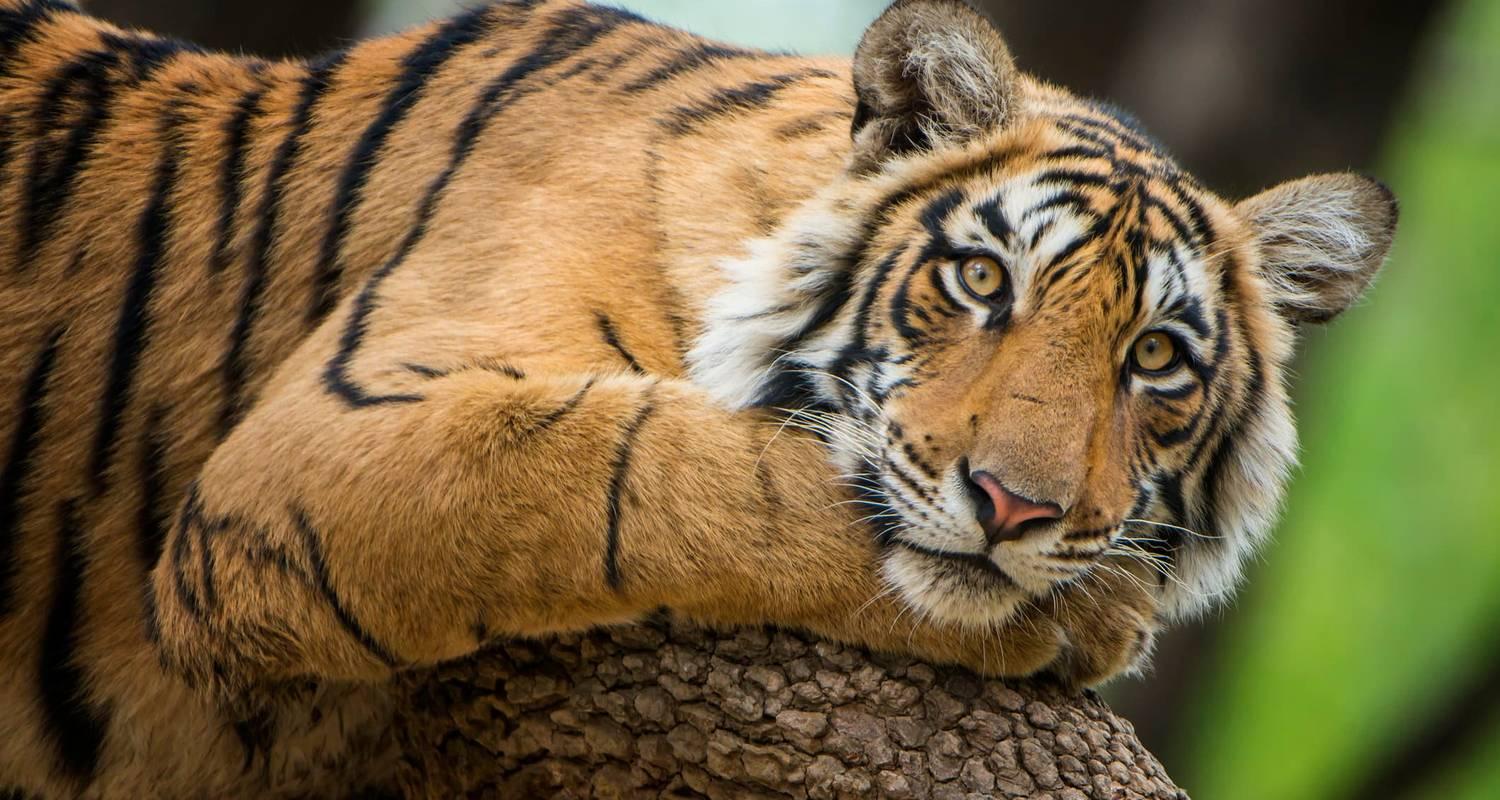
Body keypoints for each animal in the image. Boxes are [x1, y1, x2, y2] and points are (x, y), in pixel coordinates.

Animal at [0, 0, 1397, 795]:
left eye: (1155, 357)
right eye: (980, 279)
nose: (1016, 506)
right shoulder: (325, 446)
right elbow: (664, 470)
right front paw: (1086, 611)